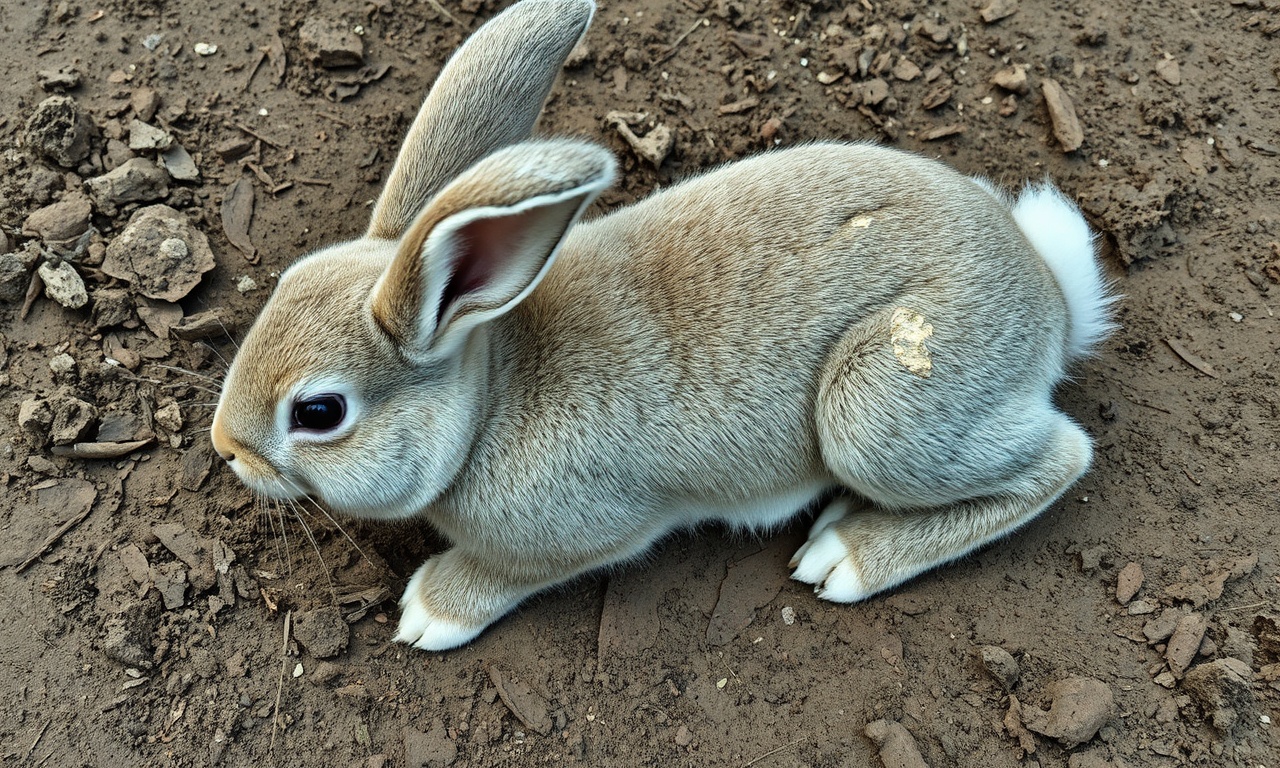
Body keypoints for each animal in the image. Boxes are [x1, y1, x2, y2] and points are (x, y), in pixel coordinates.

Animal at [210, 0, 1116, 651]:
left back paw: (846, 557)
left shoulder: (581, 534)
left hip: (883, 410)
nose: (227, 450)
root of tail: (1049, 297)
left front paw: (431, 611)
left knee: (1062, 460)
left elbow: (508, 572)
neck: (488, 401)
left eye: (318, 412)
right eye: (281, 288)